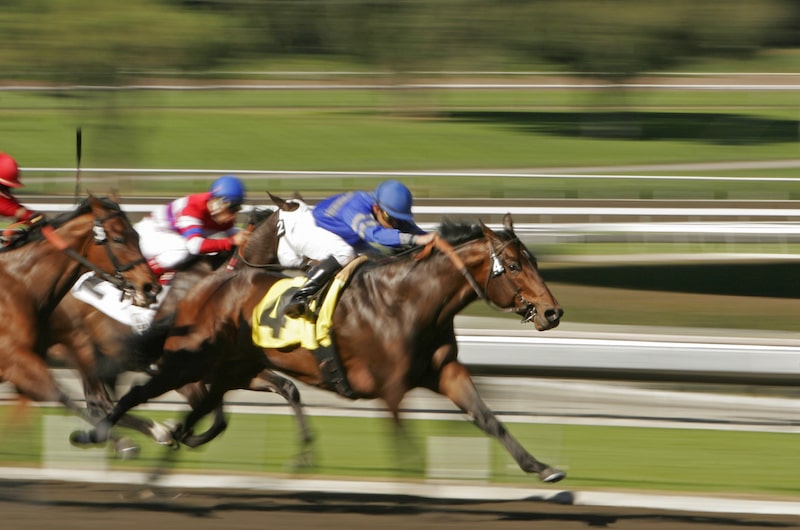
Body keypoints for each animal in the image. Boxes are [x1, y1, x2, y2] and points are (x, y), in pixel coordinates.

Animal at [0, 196, 159, 422]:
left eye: (136, 236)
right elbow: (65, 397)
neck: (20, 283)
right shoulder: (16, 361)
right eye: (118, 239)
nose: (150, 288)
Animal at [79, 213, 568, 482]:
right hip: (190, 361)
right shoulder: (391, 388)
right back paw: (99, 433)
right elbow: (406, 446)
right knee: (135, 392)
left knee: (202, 411)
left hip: (231, 368)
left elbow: (489, 419)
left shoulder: (445, 371)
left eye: (534, 260)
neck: (411, 299)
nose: (552, 312)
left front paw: (543, 466)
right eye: (515, 266)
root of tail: (205, 285)